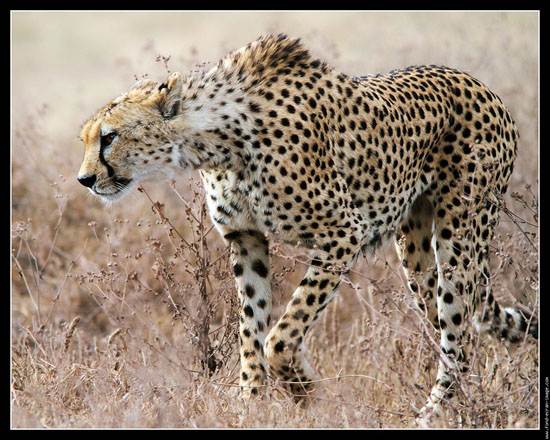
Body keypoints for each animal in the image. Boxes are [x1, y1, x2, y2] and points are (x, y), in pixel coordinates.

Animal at [77, 34, 538, 424]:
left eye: (109, 137)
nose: (84, 179)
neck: (217, 138)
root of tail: (481, 85)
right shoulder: (246, 240)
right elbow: (251, 329)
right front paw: (251, 405)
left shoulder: (343, 232)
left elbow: (281, 334)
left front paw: (303, 389)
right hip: (416, 252)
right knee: (456, 325)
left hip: (461, 235)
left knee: (461, 334)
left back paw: (431, 417)